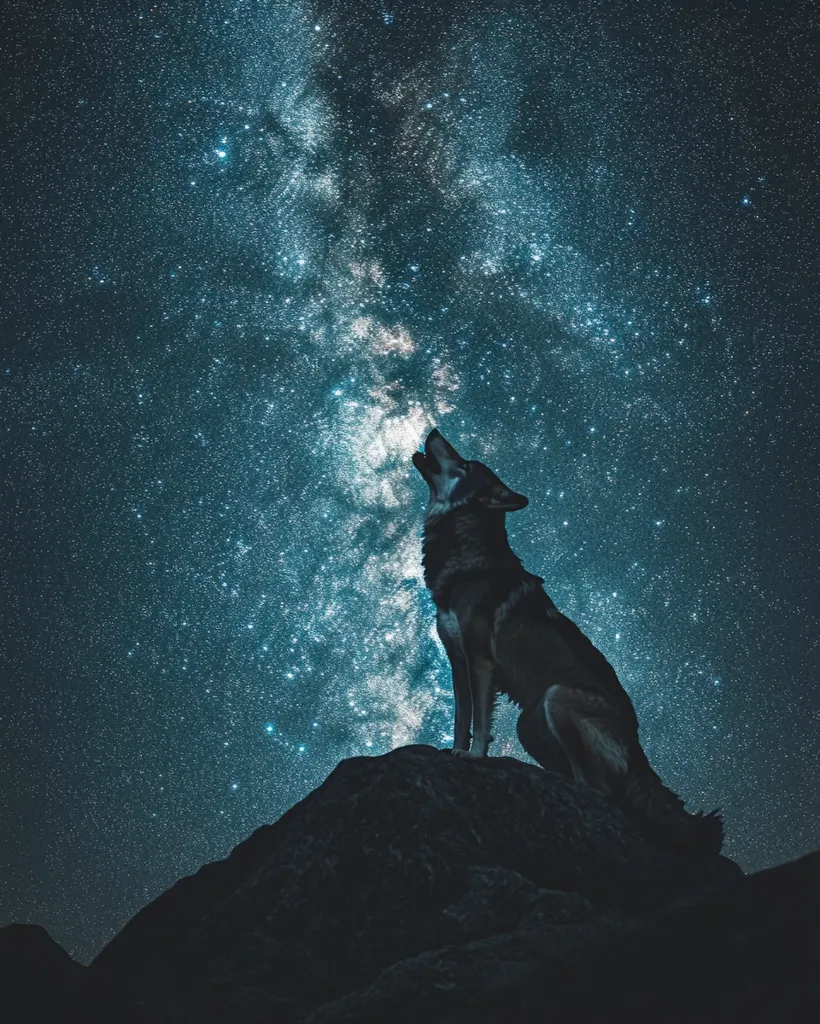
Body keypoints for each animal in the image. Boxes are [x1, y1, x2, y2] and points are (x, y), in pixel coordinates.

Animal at [413, 428, 723, 858]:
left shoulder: (480, 661)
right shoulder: (457, 659)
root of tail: (638, 751)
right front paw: (453, 752)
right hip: (530, 724)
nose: (434, 431)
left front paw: (473, 757)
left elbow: (479, 723)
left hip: (556, 697)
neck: (466, 558)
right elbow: (461, 718)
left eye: (466, 463)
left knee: (597, 789)